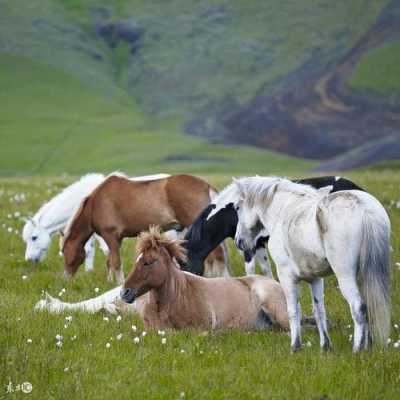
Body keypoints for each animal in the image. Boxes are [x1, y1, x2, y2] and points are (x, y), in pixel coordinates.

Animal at [63, 173, 231, 282]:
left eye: (63, 252)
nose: (66, 278)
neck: (95, 204)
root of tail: (206, 185)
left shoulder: (110, 236)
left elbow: (116, 262)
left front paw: (119, 283)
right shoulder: (116, 240)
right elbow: (110, 261)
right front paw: (110, 282)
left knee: (217, 254)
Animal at [183, 177, 364, 276]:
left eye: (183, 264)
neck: (231, 211)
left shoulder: (248, 246)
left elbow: (250, 270)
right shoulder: (259, 244)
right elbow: (265, 270)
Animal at [231, 177, 390, 352]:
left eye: (237, 207)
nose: (239, 241)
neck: (283, 212)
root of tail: (364, 209)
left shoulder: (286, 276)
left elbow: (293, 311)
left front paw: (295, 346)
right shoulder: (315, 279)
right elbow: (319, 311)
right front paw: (325, 346)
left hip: (345, 275)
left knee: (358, 307)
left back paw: (357, 349)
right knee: (368, 305)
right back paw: (368, 347)